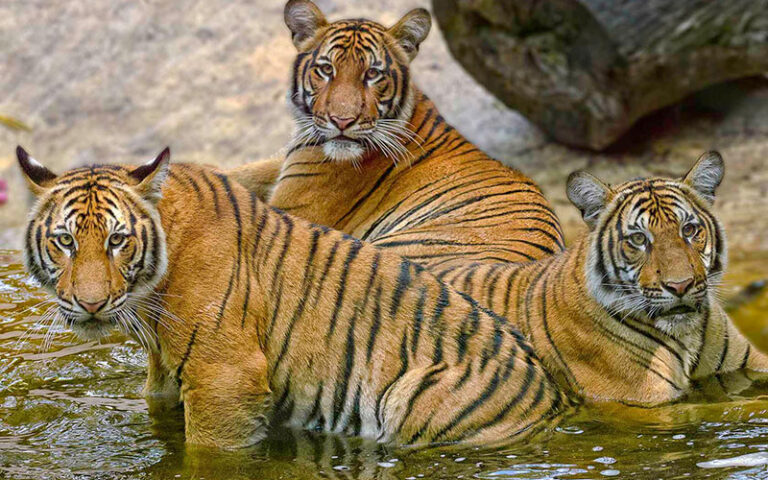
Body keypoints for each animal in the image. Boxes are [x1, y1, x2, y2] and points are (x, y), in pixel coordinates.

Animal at [16, 146, 568, 450]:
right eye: (64, 240)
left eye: (117, 240)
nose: (90, 304)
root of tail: (551, 401)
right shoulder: (166, 379)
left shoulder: (226, 379)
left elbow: (210, 452)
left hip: (417, 400)